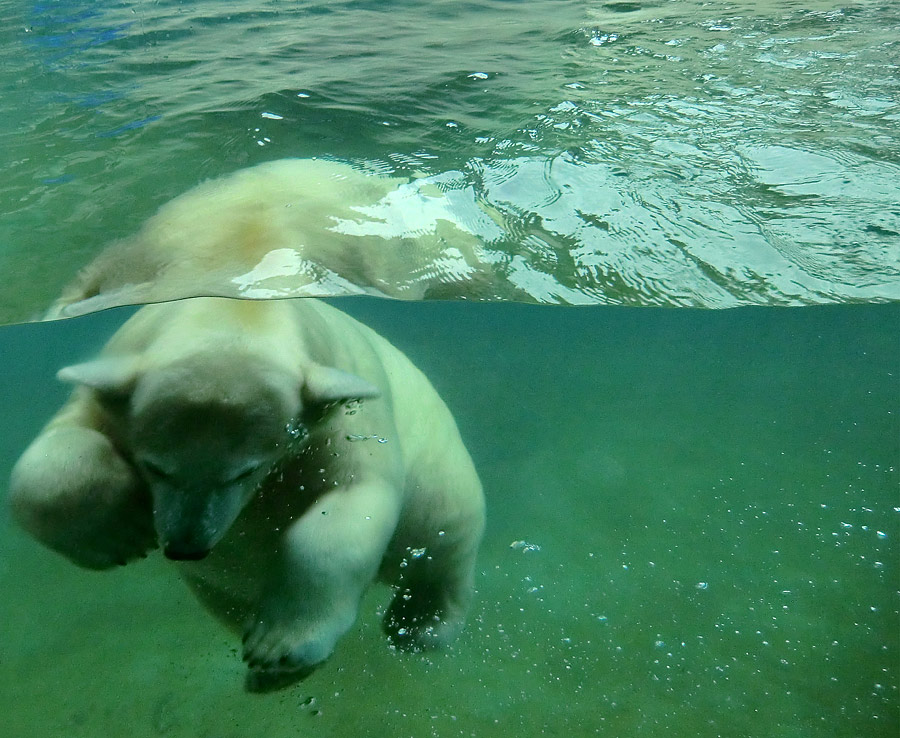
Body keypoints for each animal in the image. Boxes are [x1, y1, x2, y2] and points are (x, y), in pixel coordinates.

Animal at [8, 294, 486, 688]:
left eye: (245, 471)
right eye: (155, 466)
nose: (187, 546)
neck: (236, 311)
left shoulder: (342, 420)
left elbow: (350, 503)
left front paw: (278, 647)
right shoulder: (108, 392)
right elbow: (51, 456)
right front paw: (118, 533)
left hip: (441, 467)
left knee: (441, 542)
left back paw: (418, 626)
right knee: (229, 600)